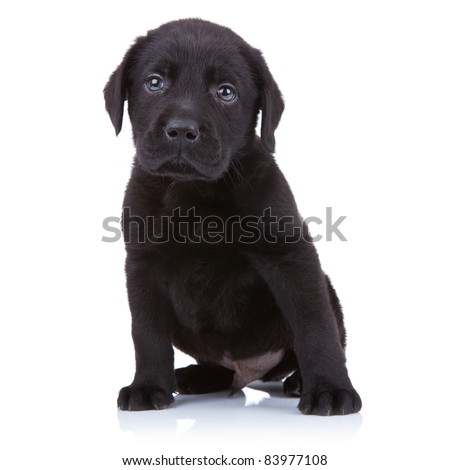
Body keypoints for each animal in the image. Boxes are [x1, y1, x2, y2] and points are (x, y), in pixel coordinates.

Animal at [103, 18, 360, 414]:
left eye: (226, 92)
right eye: (155, 82)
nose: (182, 129)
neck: (195, 193)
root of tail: (249, 372)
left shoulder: (291, 256)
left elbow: (315, 326)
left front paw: (330, 389)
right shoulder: (144, 265)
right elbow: (147, 333)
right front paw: (147, 387)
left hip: (327, 287)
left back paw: (300, 381)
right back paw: (198, 376)